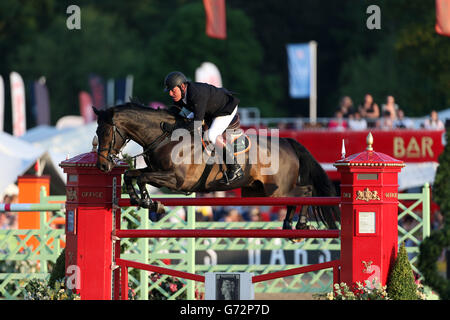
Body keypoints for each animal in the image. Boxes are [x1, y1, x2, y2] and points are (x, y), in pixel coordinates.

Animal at [94, 102, 342, 232]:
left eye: (105, 132)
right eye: (97, 132)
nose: (102, 166)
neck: (165, 136)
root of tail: (288, 142)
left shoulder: (176, 180)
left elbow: (141, 178)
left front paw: (150, 202)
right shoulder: (157, 171)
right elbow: (131, 174)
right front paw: (143, 200)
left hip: (278, 189)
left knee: (305, 191)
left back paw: (301, 223)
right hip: (260, 191)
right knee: (293, 200)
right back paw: (288, 224)